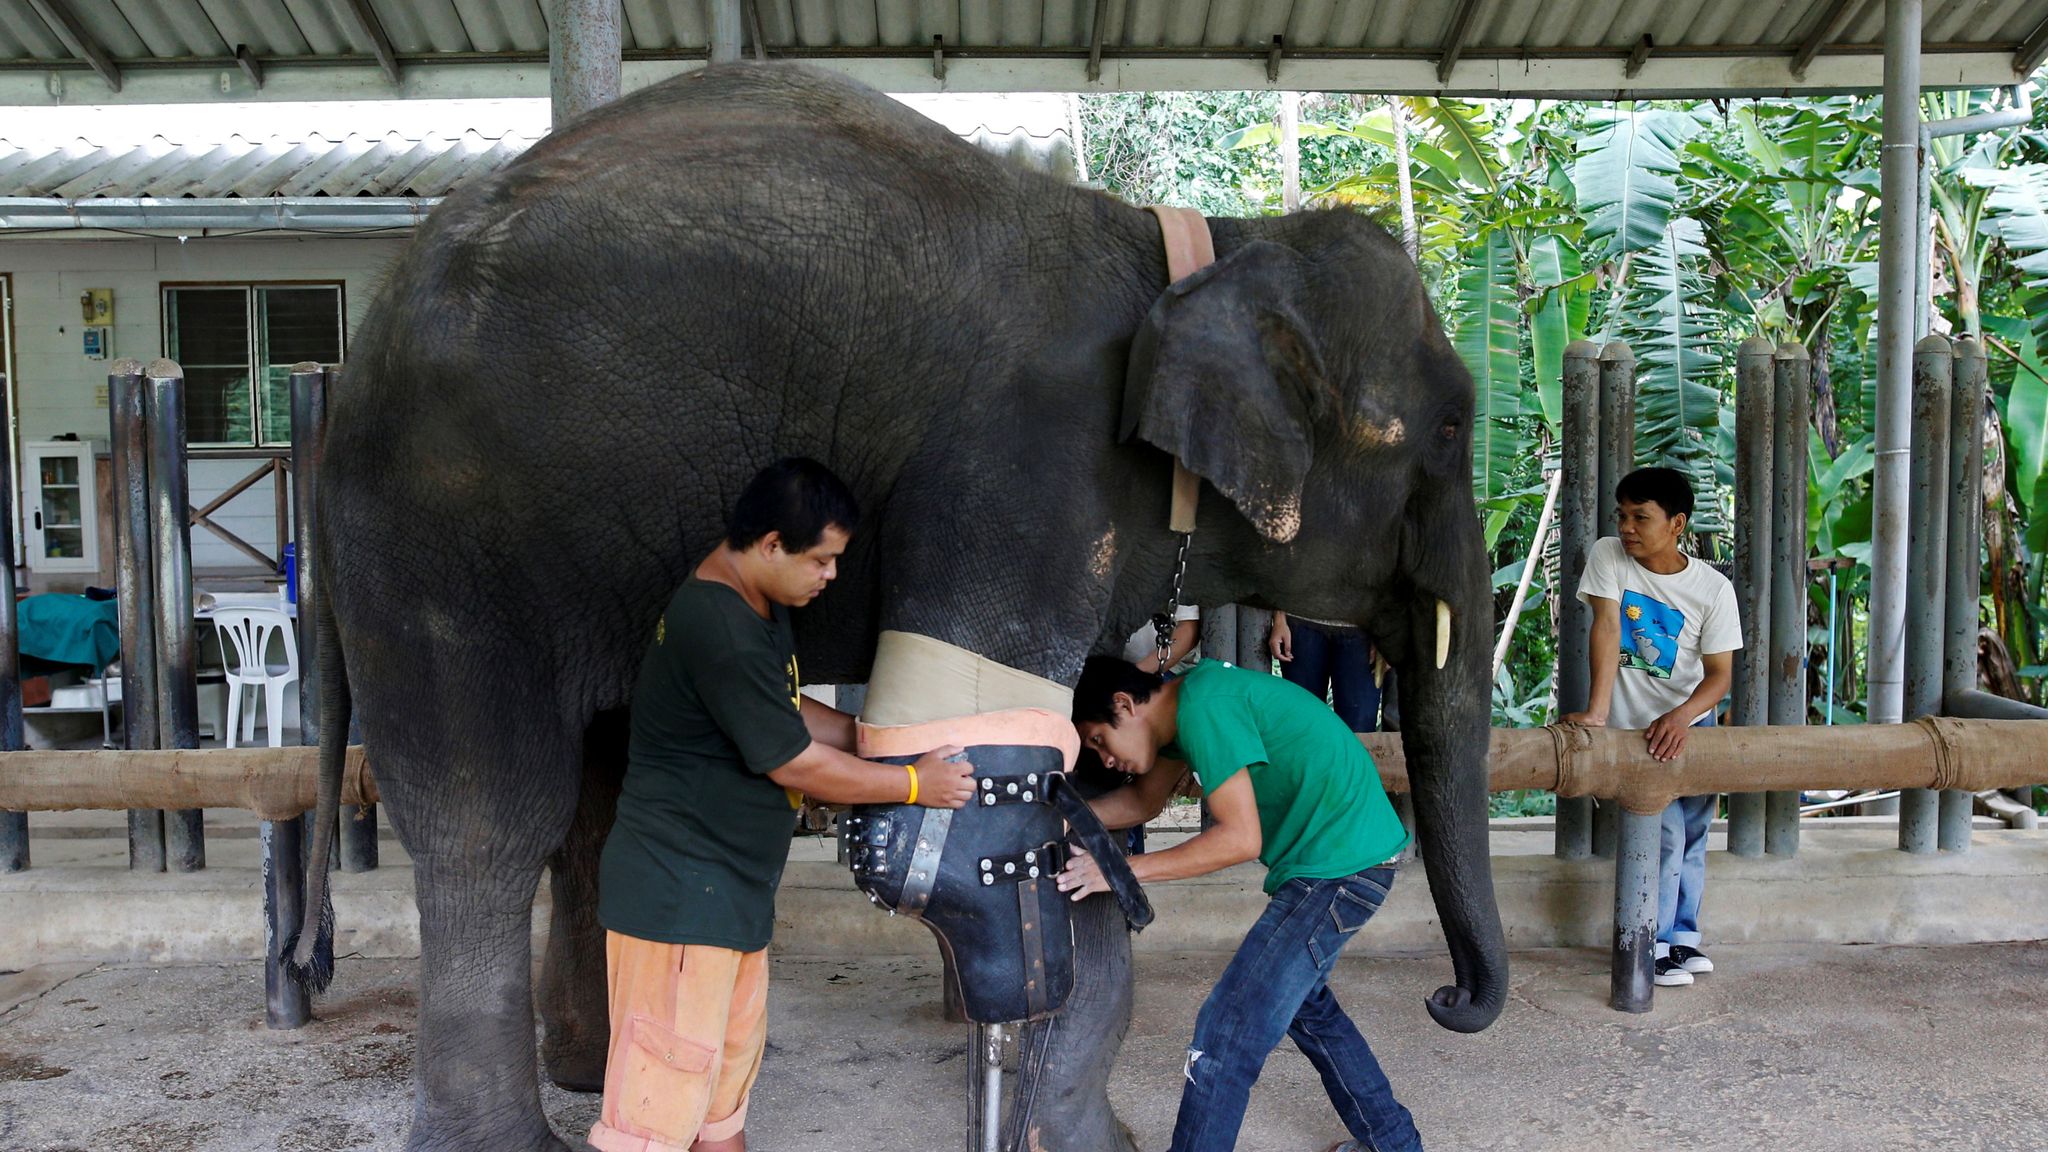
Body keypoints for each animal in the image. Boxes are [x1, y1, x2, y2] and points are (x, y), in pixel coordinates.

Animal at [288, 62, 1507, 1147]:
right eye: (1450, 425)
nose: (1452, 1004)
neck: (1197, 244)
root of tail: (351, 369)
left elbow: (1058, 797)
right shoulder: (1023, 467)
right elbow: (983, 818)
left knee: (595, 797)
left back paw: (590, 1072)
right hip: (446, 542)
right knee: (488, 817)